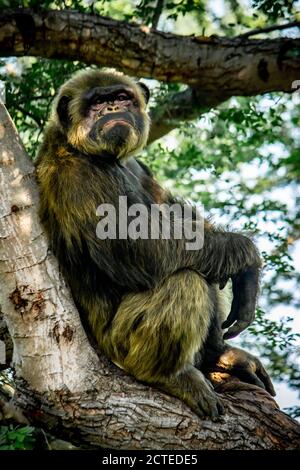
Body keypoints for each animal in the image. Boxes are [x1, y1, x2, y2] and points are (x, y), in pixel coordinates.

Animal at [34, 70, 274, 418]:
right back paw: (170, 376)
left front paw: (247, 282)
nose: (111, 109)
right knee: (185, 280)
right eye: (96, 103)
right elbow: (138, 246)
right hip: (119, 345)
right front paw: (246, 254)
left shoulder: (140, 167)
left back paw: (218, 356)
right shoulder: (76, 174)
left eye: (121, 97)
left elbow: (176, 211)